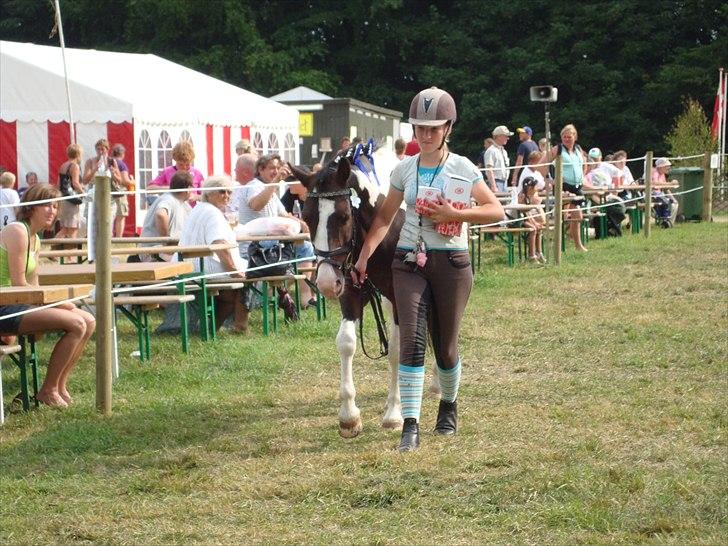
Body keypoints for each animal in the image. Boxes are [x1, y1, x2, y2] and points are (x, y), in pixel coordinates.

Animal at [291, 145, 438, 438]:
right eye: (307, 218)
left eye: (344, 217)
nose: (326, 283)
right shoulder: (350, 291)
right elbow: (346, 342)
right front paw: (349, 416)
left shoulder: (399, 295)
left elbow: (397, 350)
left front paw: (393, 414)